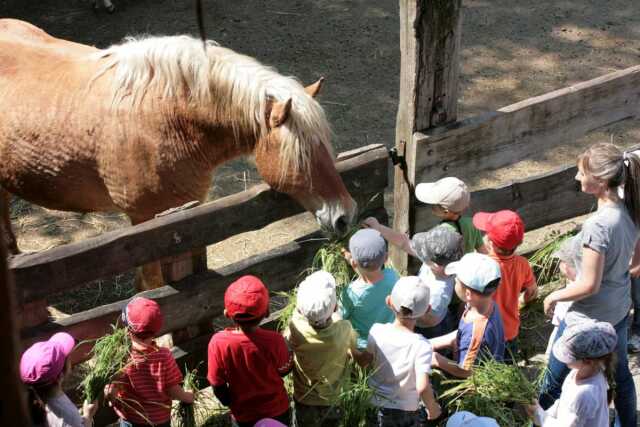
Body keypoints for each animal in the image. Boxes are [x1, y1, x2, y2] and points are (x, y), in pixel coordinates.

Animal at [0, 18, 358, 290]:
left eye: (326, 146)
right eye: (302, 156)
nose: (346, 215)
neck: (164, 118)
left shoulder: (192, 214)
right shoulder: (144, 224)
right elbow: (153, 286)